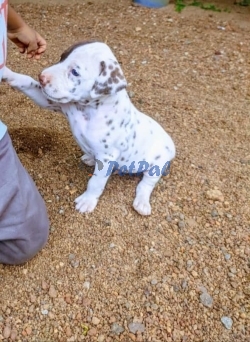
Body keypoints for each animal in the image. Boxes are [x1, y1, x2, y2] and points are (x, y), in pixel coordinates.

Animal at [3, 40, 176, 216]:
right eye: (62, 57)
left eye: (75, 72)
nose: (42, 77)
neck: (89, 109)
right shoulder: (52, 101)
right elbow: (26, 81)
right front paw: (5, 71)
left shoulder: (107, 156)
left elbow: (95, 182)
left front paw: (87, 200)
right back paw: (90, 158)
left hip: (157, 164)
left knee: (146, 184)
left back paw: (142, 203)